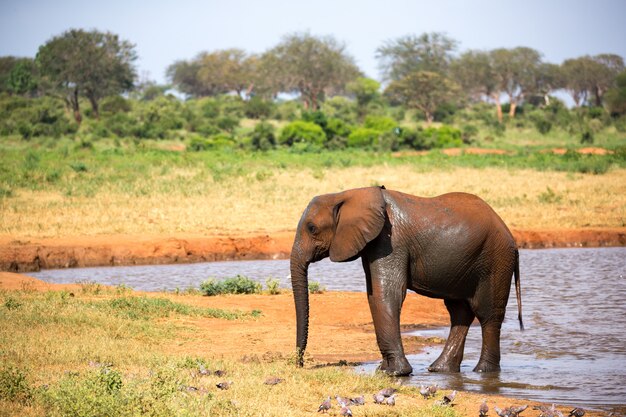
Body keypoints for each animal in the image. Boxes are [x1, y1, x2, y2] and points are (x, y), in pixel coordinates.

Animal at [288, 185, 520, 374]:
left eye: (312, 228)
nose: (299, 364)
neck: (348, 194)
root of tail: (510, 235)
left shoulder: (391, 241)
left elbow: (387, 294)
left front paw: (396, 373)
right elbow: (374, 295)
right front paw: (384, 370)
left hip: (495, 260)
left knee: (487, 314)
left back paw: (484, 372)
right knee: (459, 311)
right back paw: (441, 369)